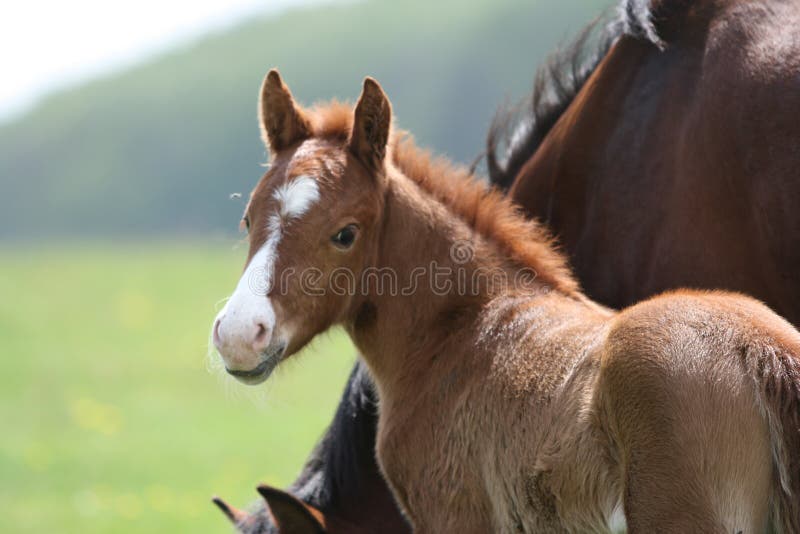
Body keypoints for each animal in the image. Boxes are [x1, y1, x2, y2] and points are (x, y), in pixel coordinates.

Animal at [212, 1, 800, 532]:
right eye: (247, 218)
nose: (238, 335)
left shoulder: (453, 517)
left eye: (345, 233)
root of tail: (758, 353)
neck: (464, 329)